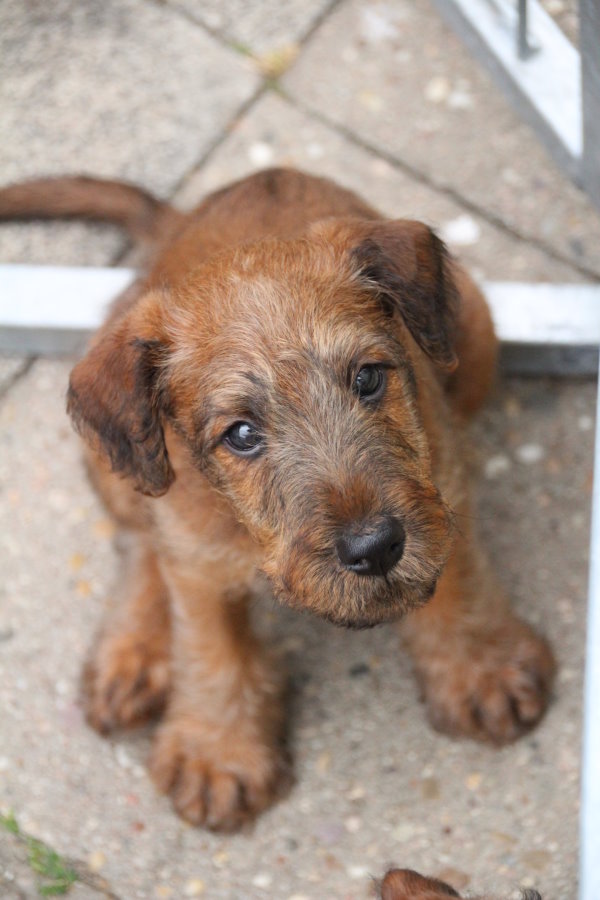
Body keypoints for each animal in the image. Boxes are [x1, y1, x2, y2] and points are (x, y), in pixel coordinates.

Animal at [0, 167, 555, 831]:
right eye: (241, 434)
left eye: (368, 377)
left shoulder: (439, 489)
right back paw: (133, 654)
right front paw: (218, 751)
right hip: (115, 465)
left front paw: (481, 668)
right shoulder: (194, 553)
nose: (375, 549)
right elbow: (208, 645)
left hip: (474, 325)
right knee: (141, 546)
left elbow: (460, 582)